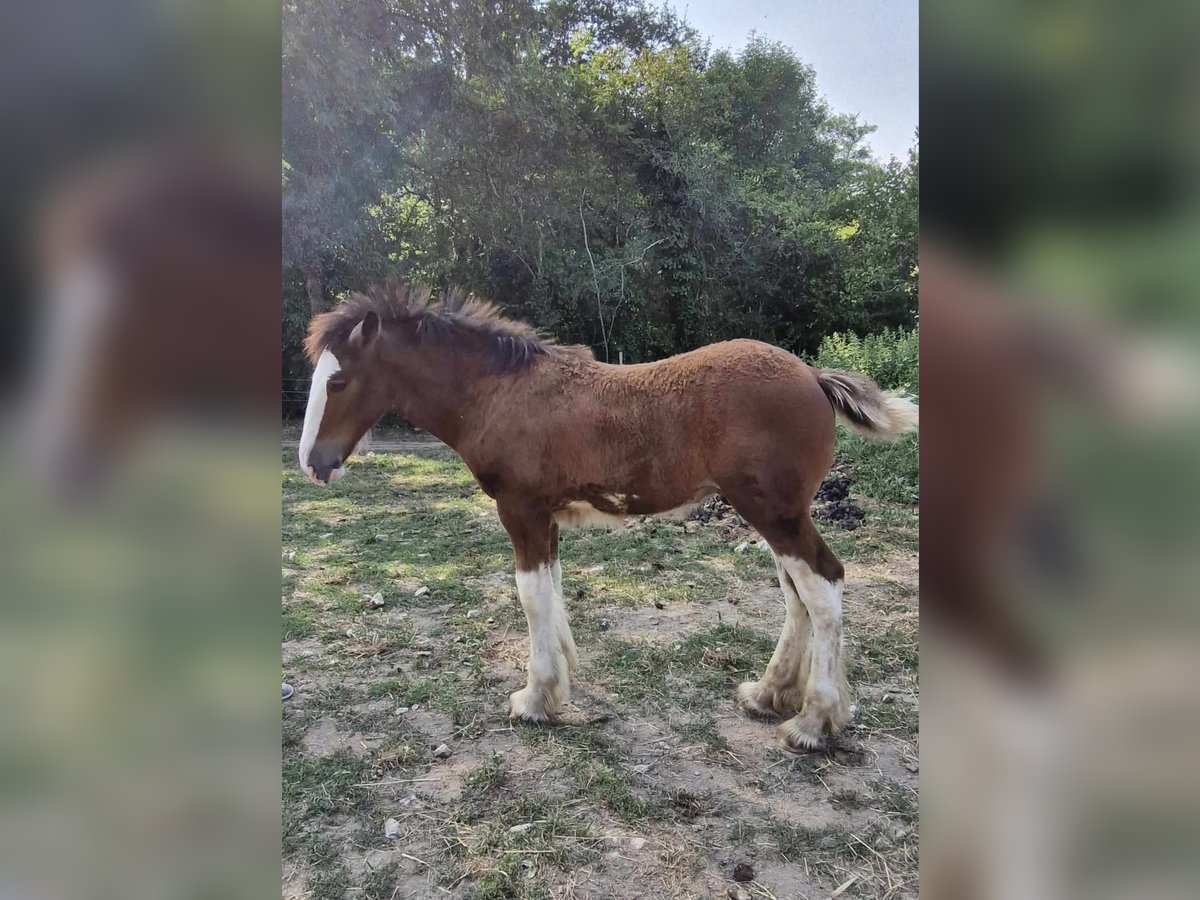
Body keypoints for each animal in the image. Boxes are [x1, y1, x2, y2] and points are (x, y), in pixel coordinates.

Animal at [302, 283, 916, 753]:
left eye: (338, 381)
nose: (313, 462)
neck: (499, 393)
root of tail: (813, 376)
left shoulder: (520, 509)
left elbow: (530, 597)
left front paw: (533, 700)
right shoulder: (544, 516)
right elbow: (551, 590)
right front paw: (557, 685)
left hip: (777, 513)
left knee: (824, 586)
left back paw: (813, 723)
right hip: (774, 514)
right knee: (798, 595)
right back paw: (768, 695)